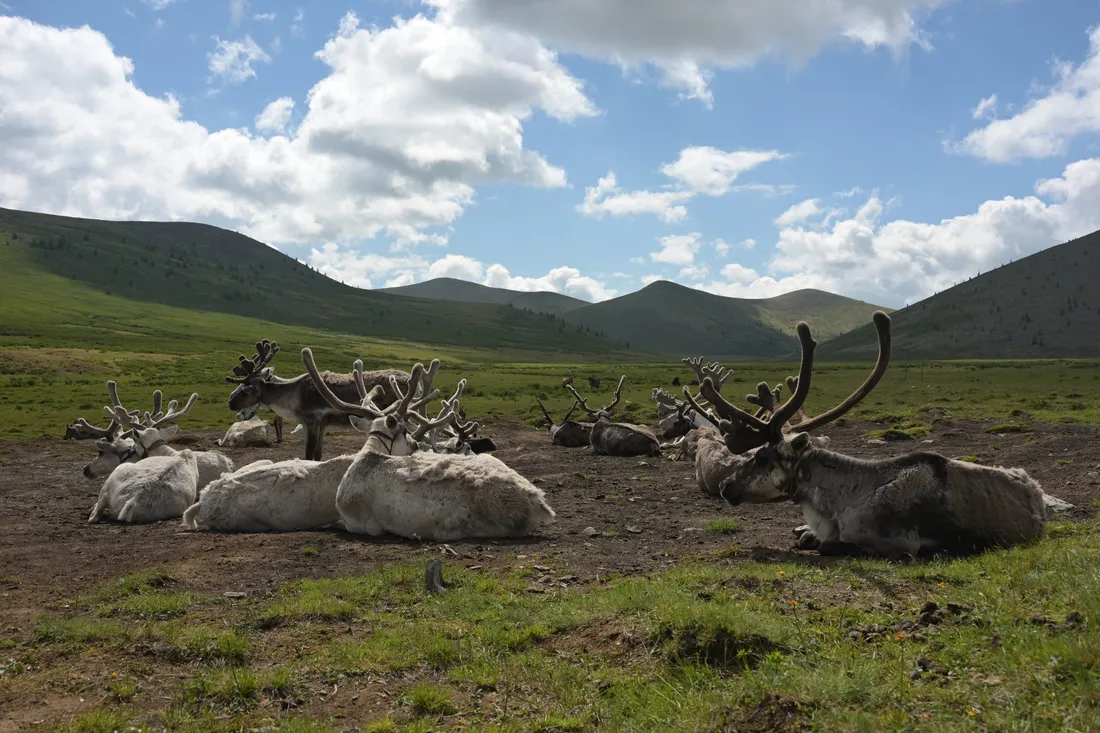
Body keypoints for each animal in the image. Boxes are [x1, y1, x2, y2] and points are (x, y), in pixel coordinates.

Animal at [225, 339, 412, 461]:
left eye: (245, 390)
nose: (231, 403)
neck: (292, 395)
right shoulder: (321, 424)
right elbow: (317, 454)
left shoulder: (312, 421)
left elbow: (308, 455)